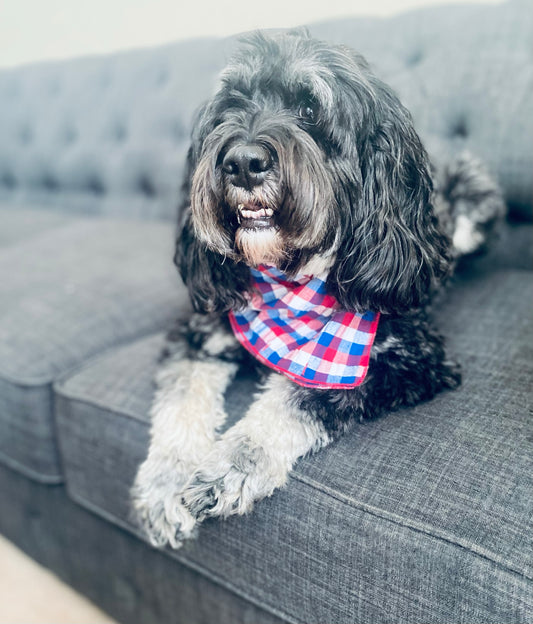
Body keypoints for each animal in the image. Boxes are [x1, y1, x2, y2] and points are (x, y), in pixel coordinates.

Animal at [131, 30, 504, 544]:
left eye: (309, 109)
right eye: (231, 105)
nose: (242, 162)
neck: (288, 278)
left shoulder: (406, 361)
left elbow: (297, 397)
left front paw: (230, 465)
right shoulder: (196, 335)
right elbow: (180, 402)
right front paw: (166, 484)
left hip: (472, 187)